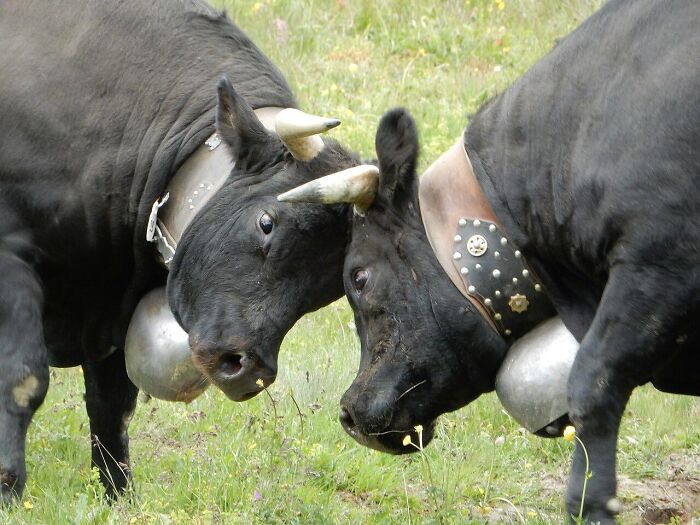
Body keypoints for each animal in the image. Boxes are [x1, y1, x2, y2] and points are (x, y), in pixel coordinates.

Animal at [0, 0, 374, 503]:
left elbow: (112, 403)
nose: (247, 367)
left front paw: (118, 495)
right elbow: (23, 376)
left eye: (329, 287)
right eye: (267, 222)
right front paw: (7, 487)